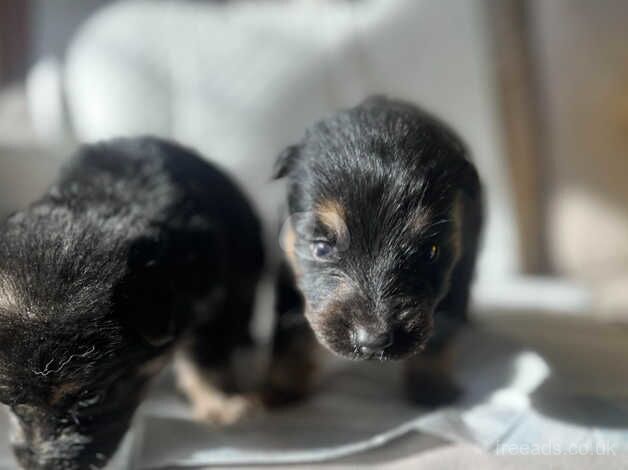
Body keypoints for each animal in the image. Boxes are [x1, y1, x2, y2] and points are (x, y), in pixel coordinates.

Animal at [0, 138, 262, 468]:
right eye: (9, 404)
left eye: (91, 398)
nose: (42, 465)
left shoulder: (213, 298)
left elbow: (204, 358)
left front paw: (220, 406)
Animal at [268, 96, 484, 408]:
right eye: (321, 248)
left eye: (429, 252)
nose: (372, 342)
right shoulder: (288, 267)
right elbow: (289, 332)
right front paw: (280, 390)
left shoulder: (459, 269)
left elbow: (441, 332)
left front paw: (431, 389)